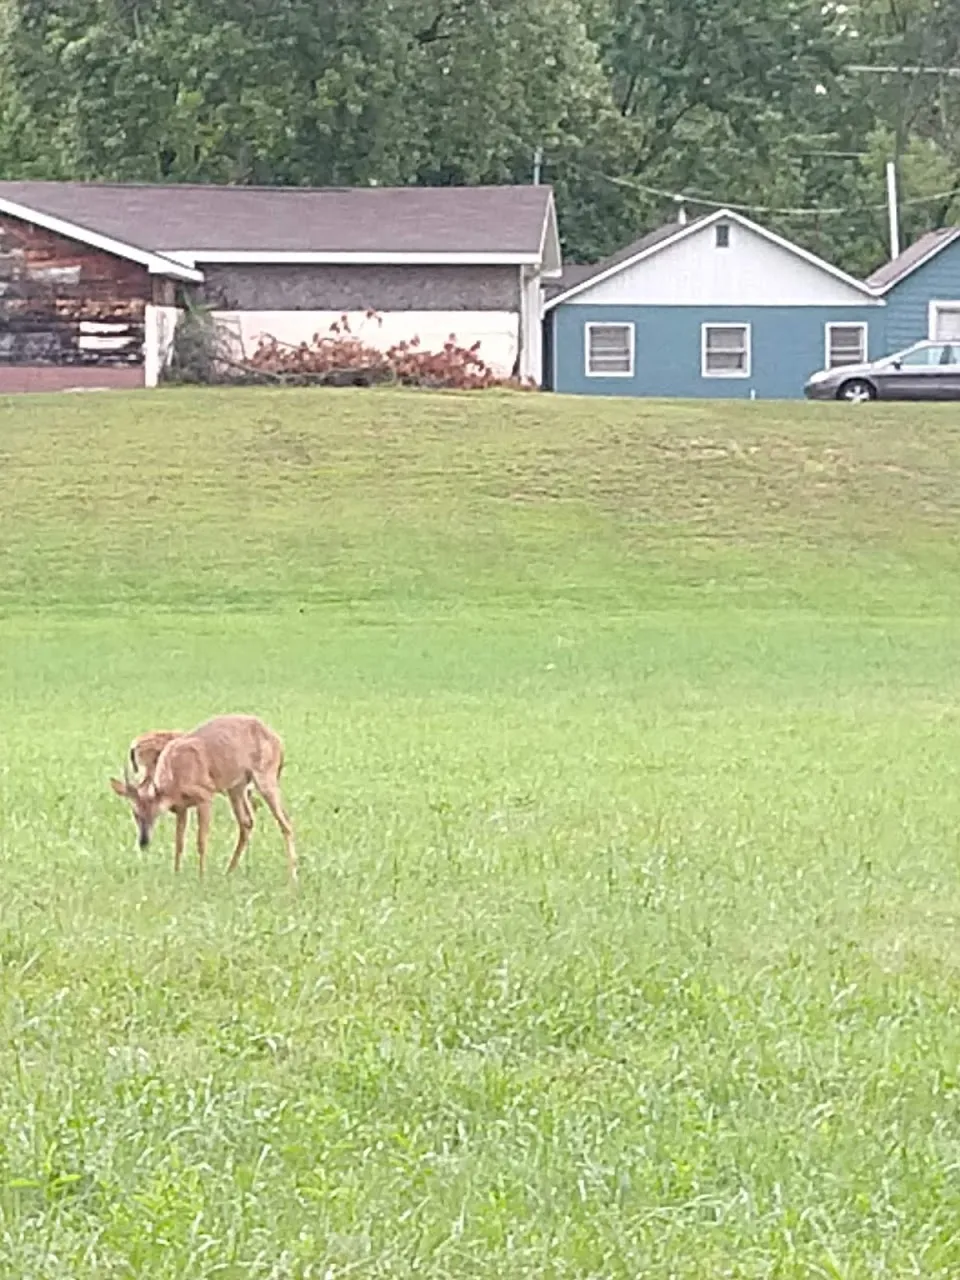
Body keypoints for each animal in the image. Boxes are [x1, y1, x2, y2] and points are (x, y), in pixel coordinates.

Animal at [110, 714, 297, 881]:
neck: (176, 777)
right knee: (246, 822)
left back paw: (292, 878)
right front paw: (176, 874)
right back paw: (229, 872)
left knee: (285, 822)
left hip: (266, 777)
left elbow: (201, 841)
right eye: (134, 813)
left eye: (156, 814)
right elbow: (179, 842)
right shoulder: (181, 807)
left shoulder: (206, 796)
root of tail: (278, 740)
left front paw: (201, 877)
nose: (143, 842)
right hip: (236, 787)